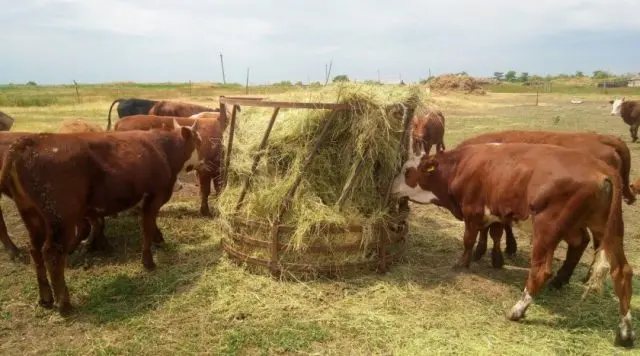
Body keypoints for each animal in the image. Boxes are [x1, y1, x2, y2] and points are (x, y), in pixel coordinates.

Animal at [0, 121, 202, 314]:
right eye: (198, 141)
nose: (204, 160)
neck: (163, 149)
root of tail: (28, 142)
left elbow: (149, 226)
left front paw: (158, 242)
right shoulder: (154, 196)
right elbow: (146, 227)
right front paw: (148, 262)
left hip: (31, 215)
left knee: (35, 250)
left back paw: (46, 299)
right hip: (61, 218)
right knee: (52, 253)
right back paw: (65, 305)